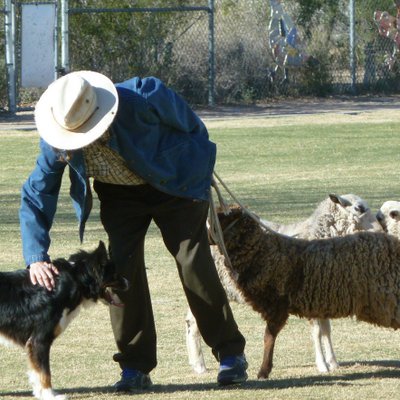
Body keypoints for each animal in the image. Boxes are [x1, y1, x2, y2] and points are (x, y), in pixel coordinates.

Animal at [186, 192, 382, 374]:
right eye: (359, 208)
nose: (381, 230)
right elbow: (317, 331)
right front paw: (322, 365)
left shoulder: (321, 295)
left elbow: (327, 329)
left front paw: (333, 362)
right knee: (194, 323)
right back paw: (200, 366)